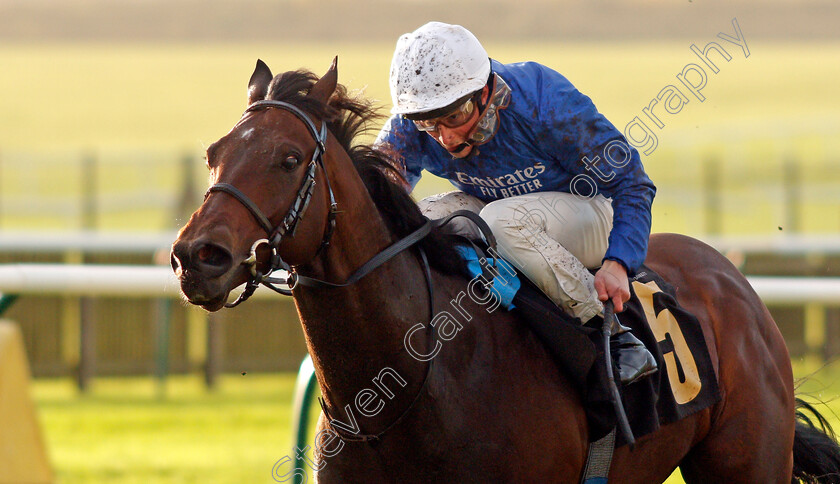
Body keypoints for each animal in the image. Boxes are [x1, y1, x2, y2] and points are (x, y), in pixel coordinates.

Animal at [172, 58, 840, 482]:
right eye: (212, 154)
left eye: (288, 159)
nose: (197, 257)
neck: (405, 389)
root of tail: (734, 279)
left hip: (744, 460)